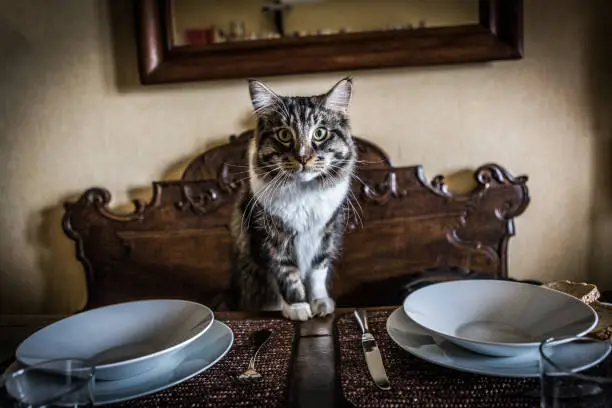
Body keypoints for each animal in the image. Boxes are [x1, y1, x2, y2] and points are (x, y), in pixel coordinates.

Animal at [230, 75, 356, 318]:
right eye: (284, 135)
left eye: (319, 133)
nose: (303, 158)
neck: (303, 193)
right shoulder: (271, 237)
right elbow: (288, 274)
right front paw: (297, 307)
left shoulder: (325, 233)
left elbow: (317, 272)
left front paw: (320, 303)